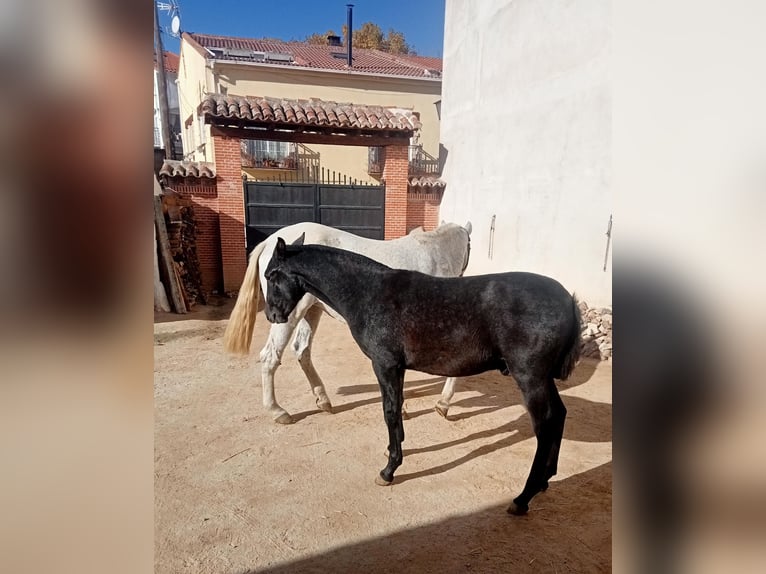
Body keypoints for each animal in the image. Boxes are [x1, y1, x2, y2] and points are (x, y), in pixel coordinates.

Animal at [224, 223, 474, 426]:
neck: (432, 255)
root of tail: (269, 242)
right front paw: (442, 404)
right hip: (289, 314)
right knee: (270, 356)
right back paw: (278, 411)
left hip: (311, 311)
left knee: (302, 351)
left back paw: (323, 400)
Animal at [264, 236, 584, 516]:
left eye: (271, 275)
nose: (272, 316)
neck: (368, 292)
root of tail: (569, 300)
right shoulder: (397, 368)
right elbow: (396, 412)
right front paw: (392, 453)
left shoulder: (385, 365)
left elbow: (390, 412)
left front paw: (389, 470)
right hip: (542, 379)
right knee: (559, 416)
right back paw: (545, 480)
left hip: (530, 378)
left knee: (545, 425)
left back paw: (523, 497)